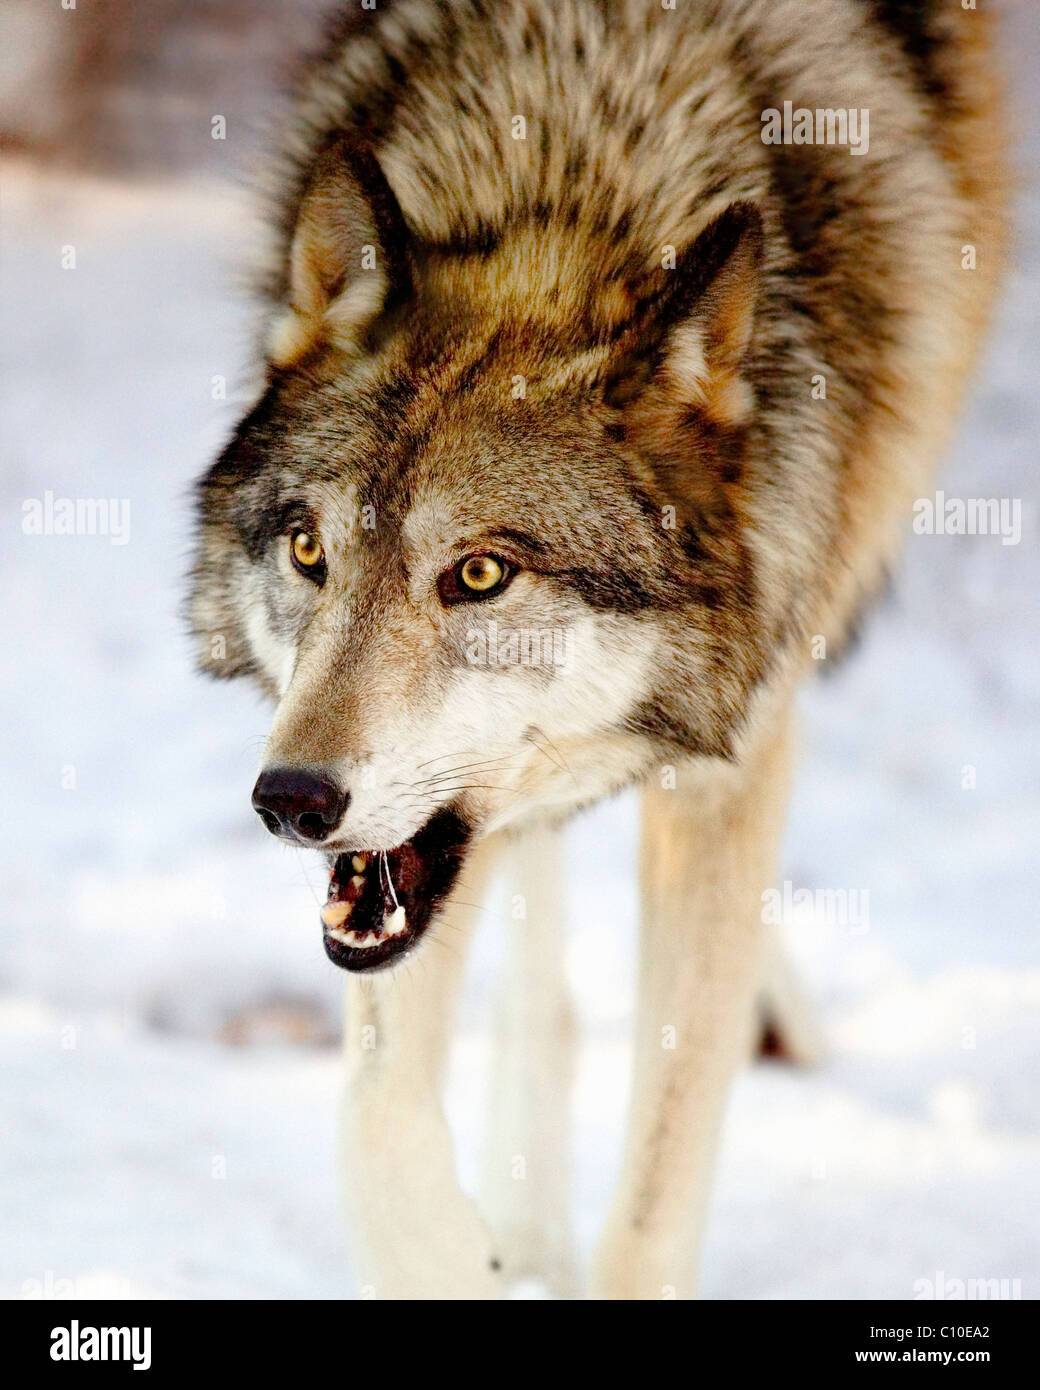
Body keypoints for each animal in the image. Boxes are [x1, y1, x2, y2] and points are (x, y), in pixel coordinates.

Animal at [189, 2, 1006, 1301]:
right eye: (310, 549)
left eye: (479, 574)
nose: (290, 801)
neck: (569, 180)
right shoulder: (402, 875)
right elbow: (374, 1107)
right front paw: (458, 1253)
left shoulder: (725, 764)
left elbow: (661, 1165)